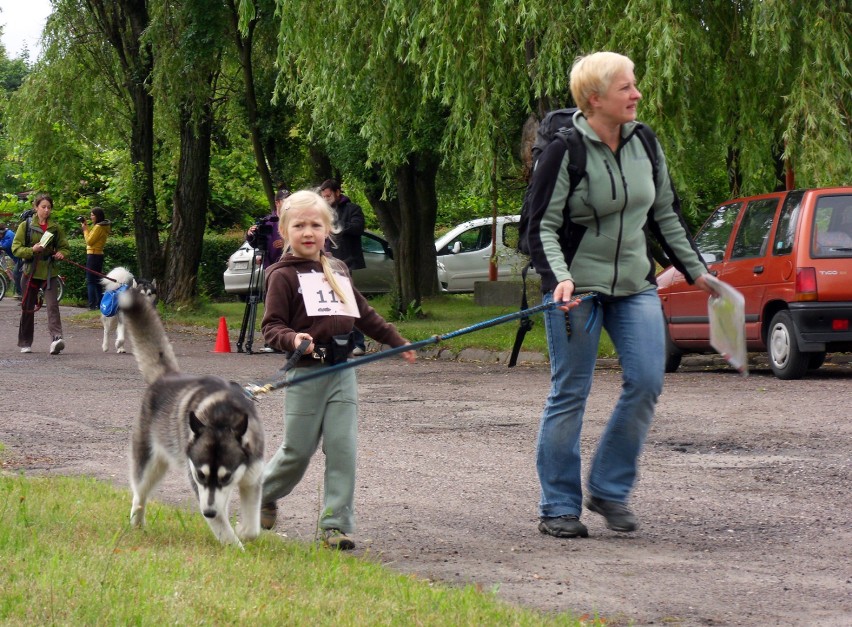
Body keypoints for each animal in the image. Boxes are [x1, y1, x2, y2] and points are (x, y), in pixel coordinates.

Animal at [116, 288, 262, 548]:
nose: (208, 513)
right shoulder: (198, 483)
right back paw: (137, 523)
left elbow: (253, 528)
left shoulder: (252, 477)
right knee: (139, 494)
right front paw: (236, 547)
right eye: (201, 475)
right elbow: (225, 532)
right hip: (149, 464)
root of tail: (167, 376)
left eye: (226, 477)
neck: (221, 417)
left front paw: (244, 531)